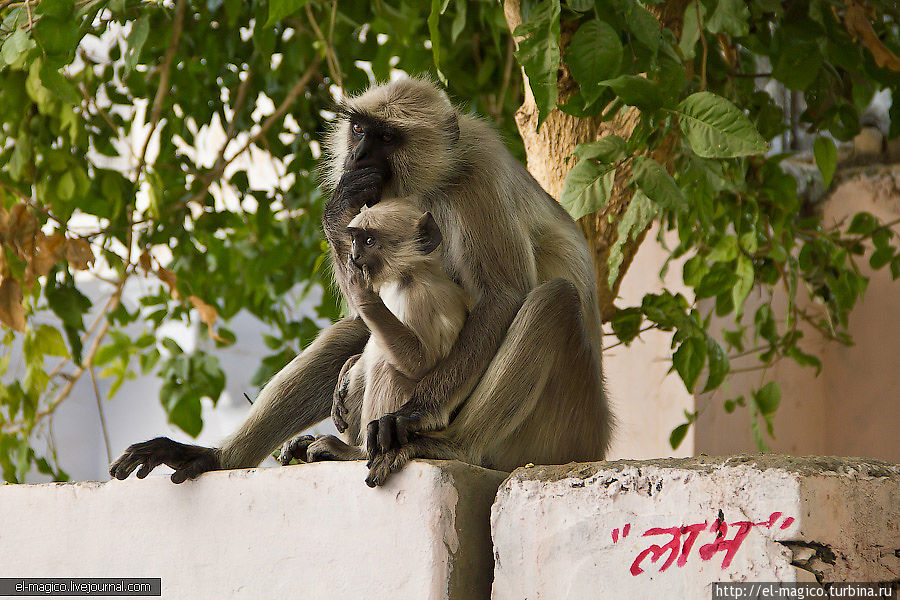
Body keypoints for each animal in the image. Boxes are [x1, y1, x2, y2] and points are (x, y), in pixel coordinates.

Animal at [280, 199, 472, 486]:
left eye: (369, 241)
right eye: (355, 240)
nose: (355, 256)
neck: (407, 277)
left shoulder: (421, 298)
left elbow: (421, 364)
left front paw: (362, 294)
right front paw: (345, 370)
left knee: (387, 367)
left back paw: (354, 453)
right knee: (366, 367)